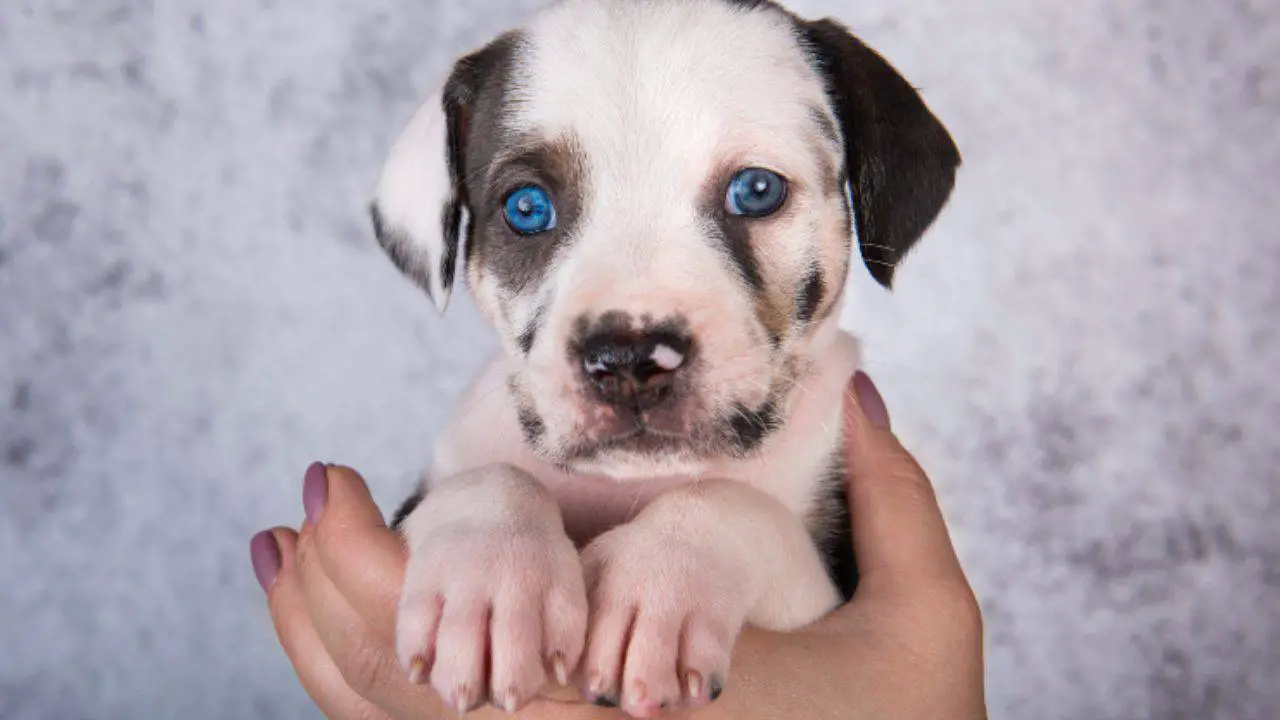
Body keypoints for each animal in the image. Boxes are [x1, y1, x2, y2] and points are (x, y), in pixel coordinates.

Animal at [366, 0, 957, 712]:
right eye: (526, 207)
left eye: (757, 190)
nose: (629, 359)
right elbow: (490, 480)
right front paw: (489, 577)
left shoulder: (826, 596)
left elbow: (731, 503)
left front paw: (662, 581)